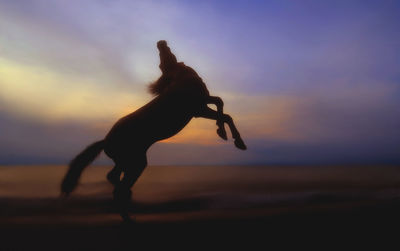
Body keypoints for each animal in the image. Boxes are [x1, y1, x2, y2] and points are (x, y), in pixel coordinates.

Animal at [61, 39, 247, 222]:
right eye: (161, 61)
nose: (160, 42)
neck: (181, 78)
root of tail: (106, 140)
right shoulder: (198, 109)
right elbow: (223, 111)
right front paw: (230, 137)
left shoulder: (202, 105)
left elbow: (222, 107)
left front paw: (229, 137)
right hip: (135, 163)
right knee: (118, 185)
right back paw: (129, 211)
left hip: (127, 162)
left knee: (113, 178)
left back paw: (128, 210)